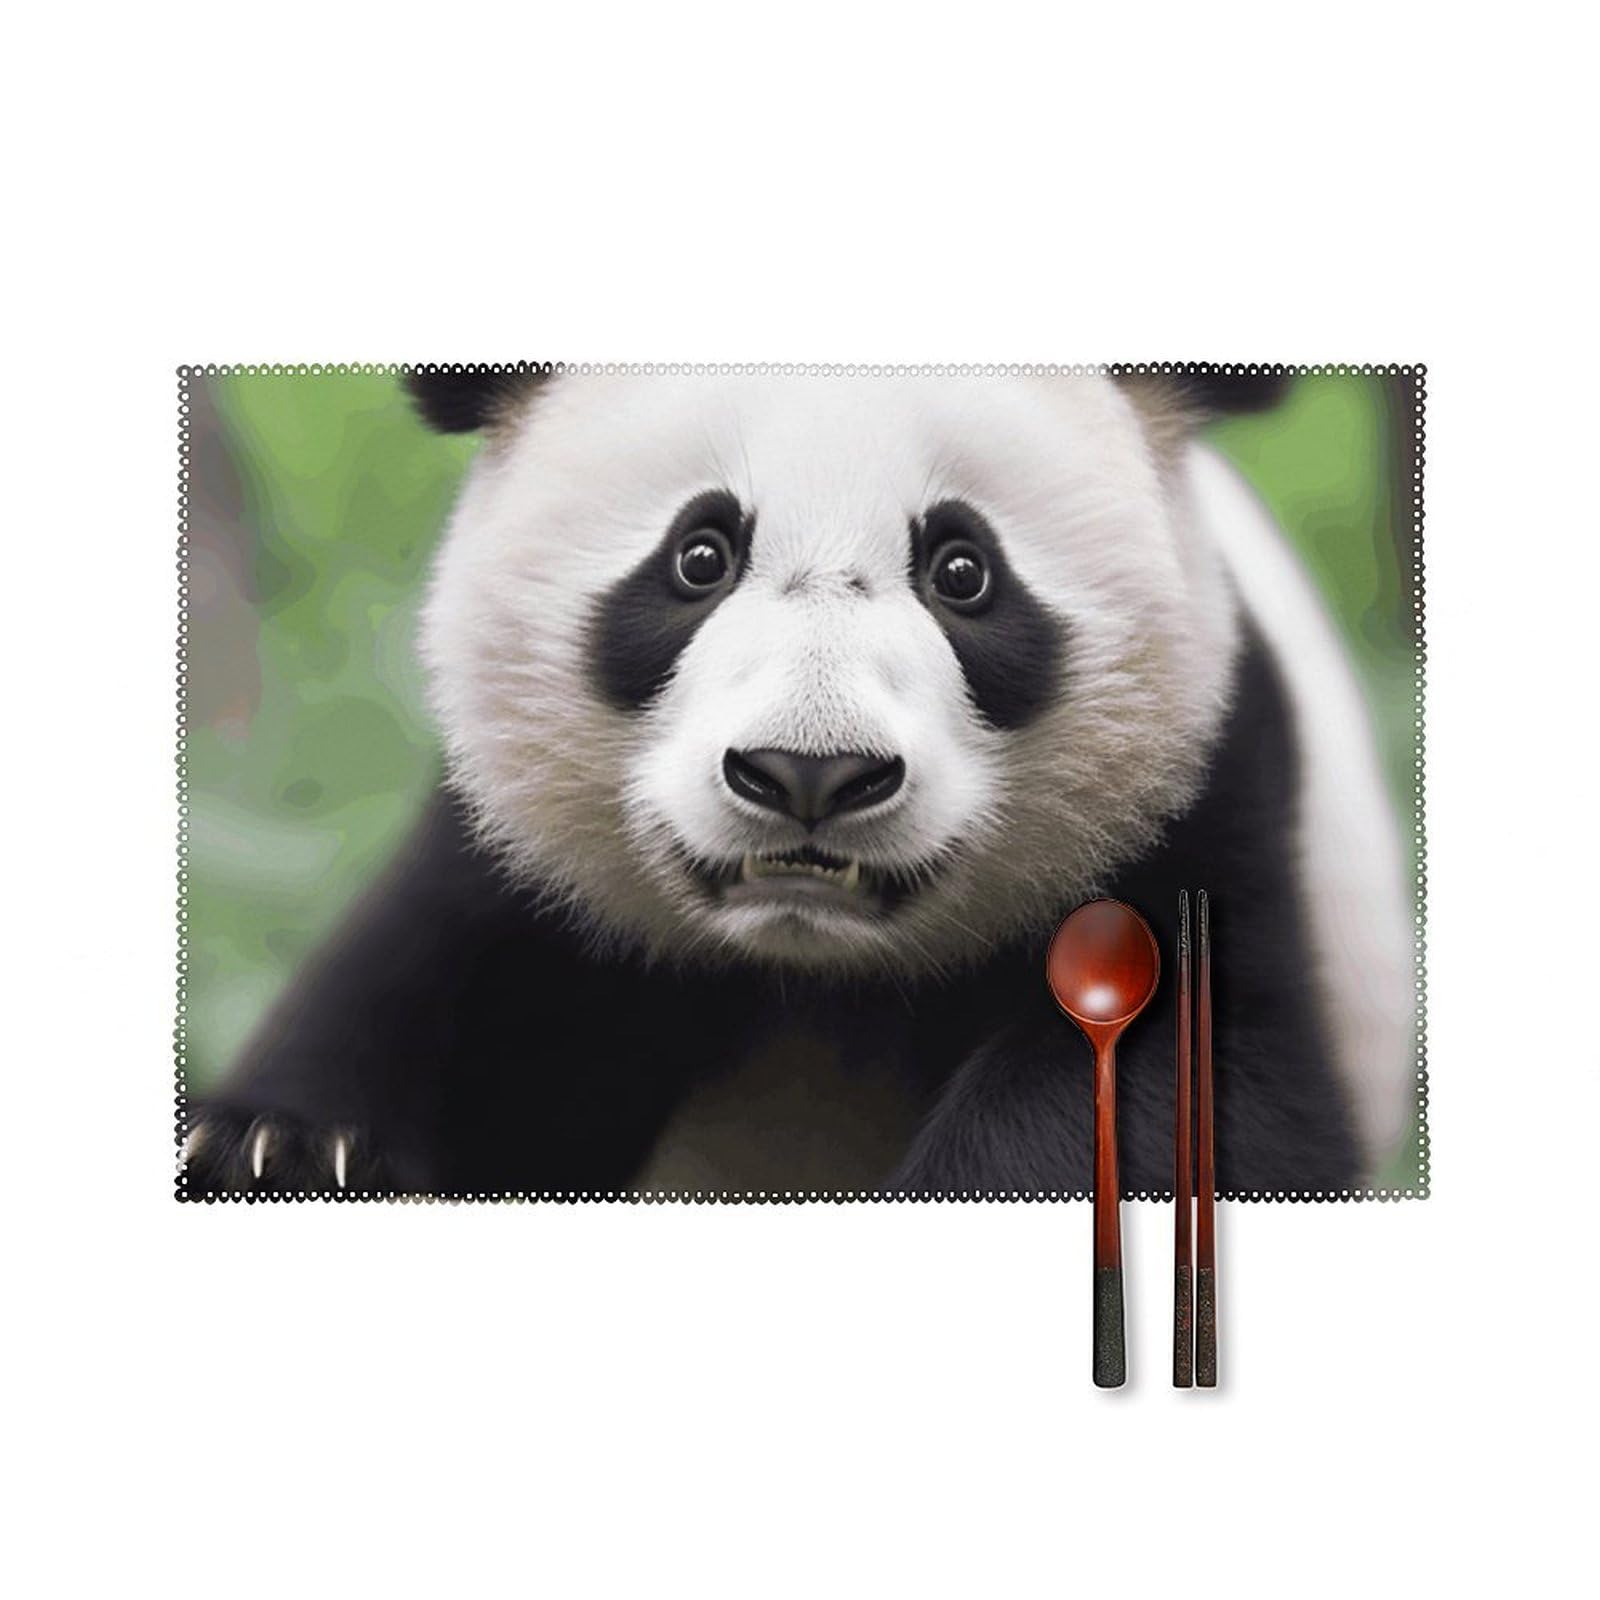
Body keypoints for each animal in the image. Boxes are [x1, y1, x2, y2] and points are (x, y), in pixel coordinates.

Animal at [183, 366, 1414, 1198]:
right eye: (699, 557)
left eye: (963, 570)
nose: (809, 773)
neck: (820, 970)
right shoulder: (517, 875)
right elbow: (414, 993)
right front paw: (283, 1152)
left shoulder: (1210, 814)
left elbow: (1199, 1095)